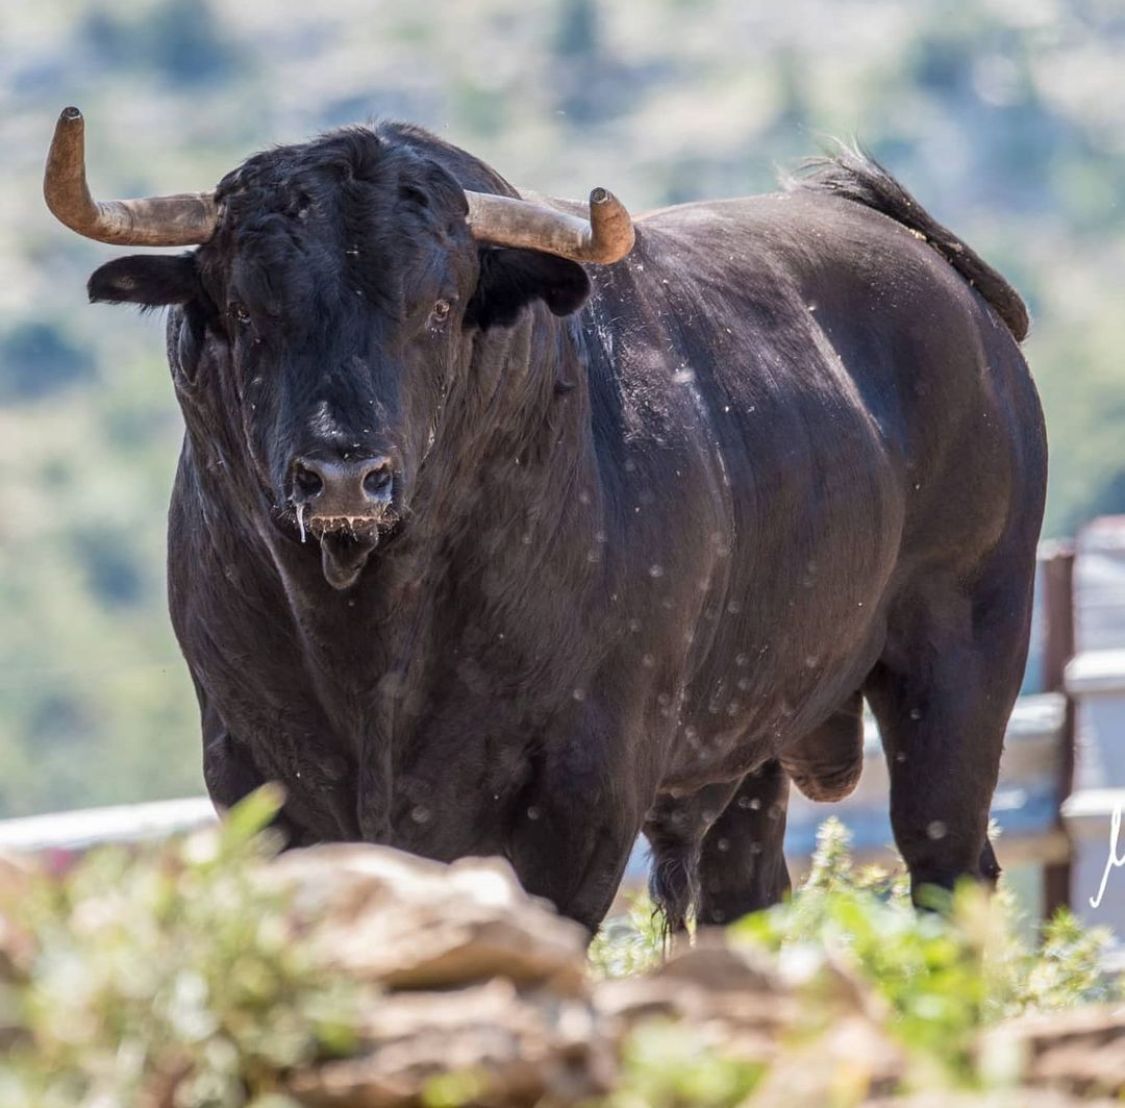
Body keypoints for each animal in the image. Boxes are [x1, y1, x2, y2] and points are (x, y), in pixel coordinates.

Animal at [79, 125, 1044, 931]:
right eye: (247, 311)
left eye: (437, 308)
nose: (345, 473)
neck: (375, 638)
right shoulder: (256, 773)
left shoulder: (582, 792)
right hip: (750, 737)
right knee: (745, 892)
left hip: (961, 661)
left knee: (948, 864)